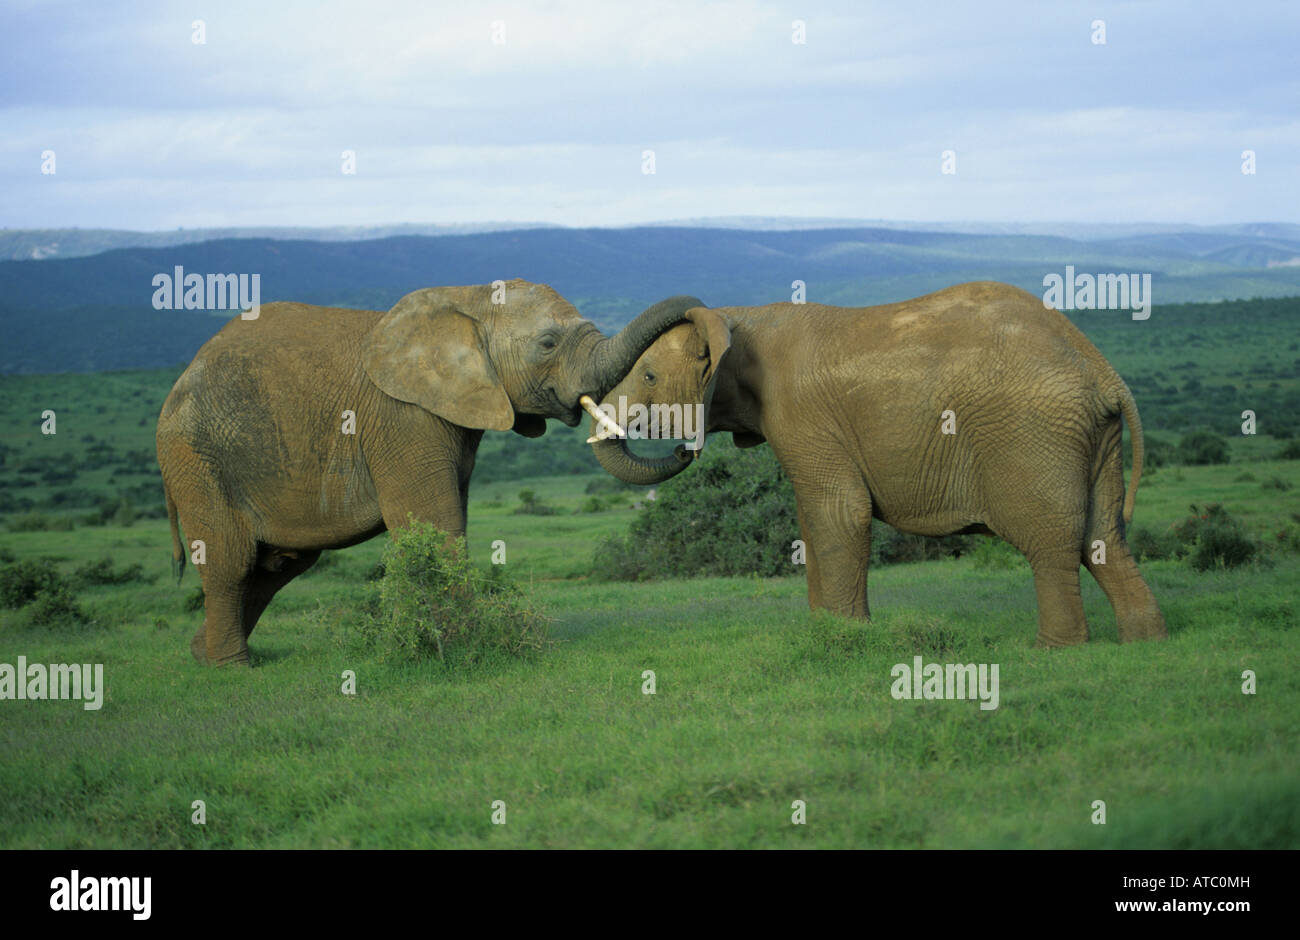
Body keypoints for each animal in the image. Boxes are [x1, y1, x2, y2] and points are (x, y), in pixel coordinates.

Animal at [159, 280, 702, 670]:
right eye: (548, 343)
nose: (684, 446)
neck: (470, 300)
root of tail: (179, 381)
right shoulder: (403, 417)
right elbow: (436, 526)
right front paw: (460, 645)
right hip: (196, 458)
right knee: (230, 562)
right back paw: (231, 667)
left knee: (278, 565)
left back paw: (201, 655)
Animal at [590, 279, 1170, 647]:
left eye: (647, 377)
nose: (685, 449)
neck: (740, 319)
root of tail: (1099, 366)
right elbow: (813, 520)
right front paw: (823, 631)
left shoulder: (801, 413)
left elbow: (839, 512)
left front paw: (848, 636)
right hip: (1092, 437)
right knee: (1104, 538)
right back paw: (1144, 642)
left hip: (1032, 433)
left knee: (1049, 540)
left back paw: (1056, 650)